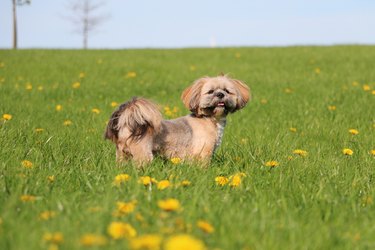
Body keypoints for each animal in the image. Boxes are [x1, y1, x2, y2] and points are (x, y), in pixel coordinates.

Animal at [104, 75, 251, 165]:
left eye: (227, 91)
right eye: (210, 92)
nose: (220, 94)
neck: (209, 119)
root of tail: (126, 123)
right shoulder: (204, 152)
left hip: (122, 155)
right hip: (143, 154)